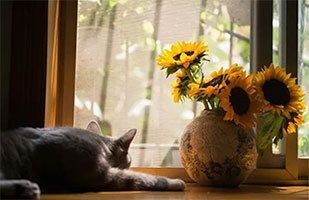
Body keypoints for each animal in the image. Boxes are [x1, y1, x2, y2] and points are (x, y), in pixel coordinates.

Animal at [0, 121, 184, 199]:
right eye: (130, 161)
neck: (98, 143)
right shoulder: (103, 176)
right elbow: (142, 178)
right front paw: (176, 182)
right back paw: (27, 188)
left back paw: (24, 188)